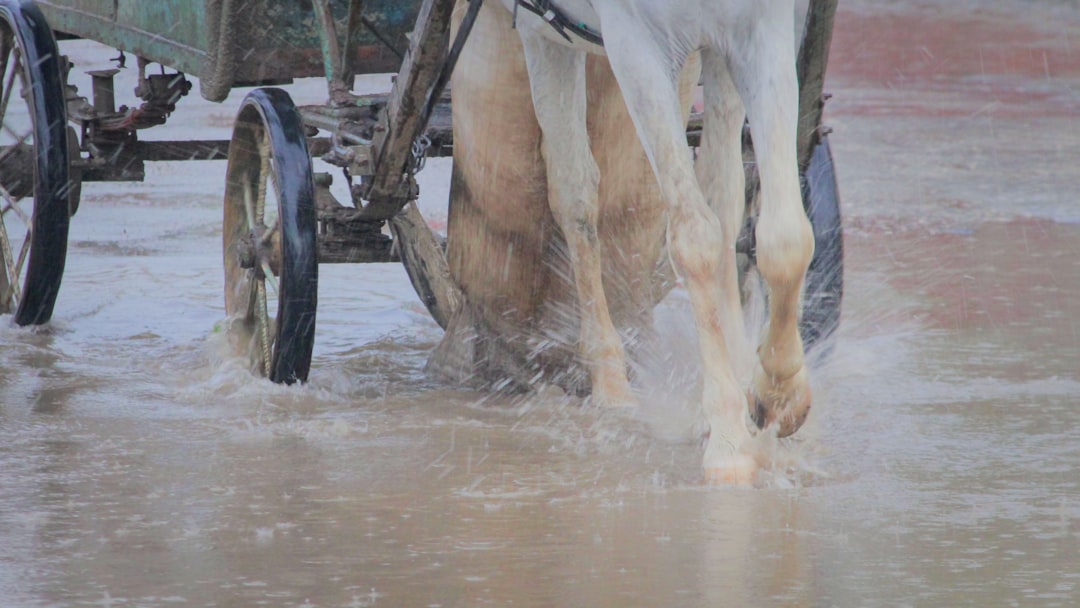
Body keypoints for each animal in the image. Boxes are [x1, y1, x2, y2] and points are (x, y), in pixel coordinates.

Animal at [494, 1, 812, 485]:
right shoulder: (635, 43)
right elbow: (693, 238)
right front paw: (729, 440)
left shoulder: (761, 27)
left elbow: (784, 241)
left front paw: (777, 394)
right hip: (541, 37)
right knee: (574, 192)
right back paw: (610, 380)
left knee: (723, 192)